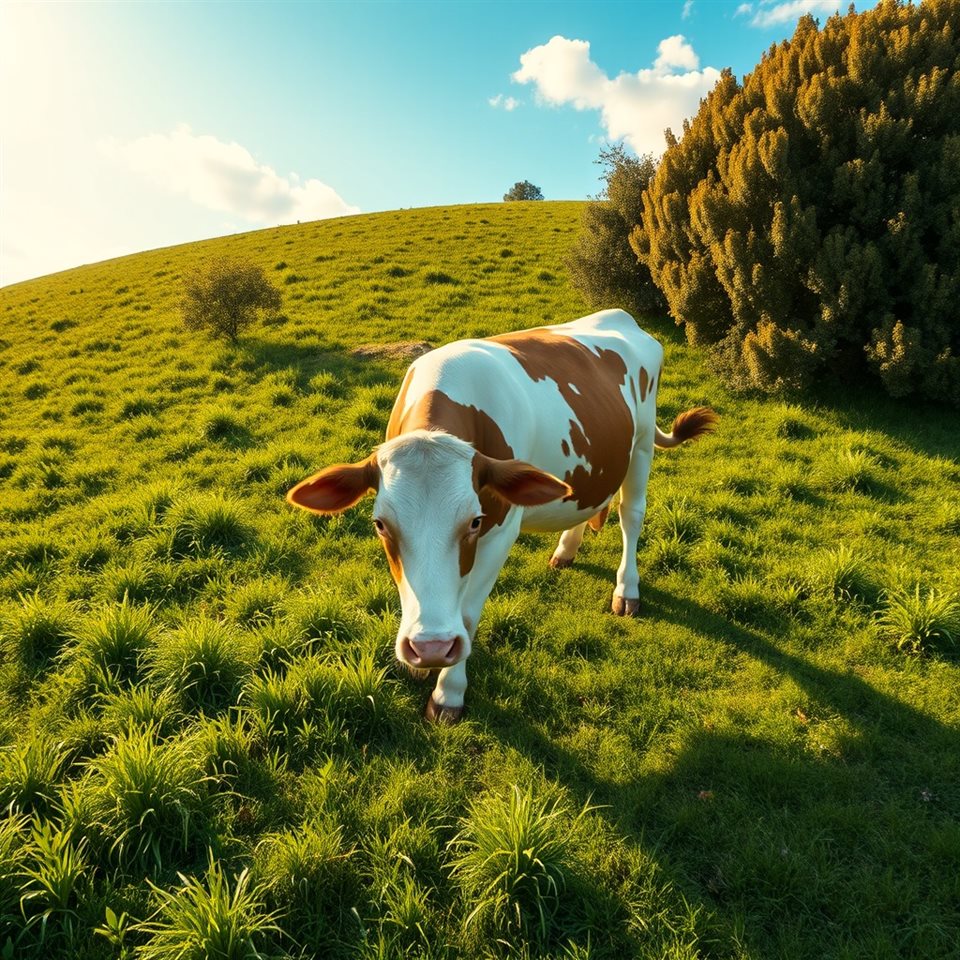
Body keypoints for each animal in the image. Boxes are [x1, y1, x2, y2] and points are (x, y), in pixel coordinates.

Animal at [287, 309, 717, 723]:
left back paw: (627, 591)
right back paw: (566, 550)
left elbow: (467, 616)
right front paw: (421, 666)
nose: (431, 646)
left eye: (474, 522)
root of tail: (623, 317)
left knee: (632, 515)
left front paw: (448, 693)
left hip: (641, 444)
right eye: (380, 525)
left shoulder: (500, 534)